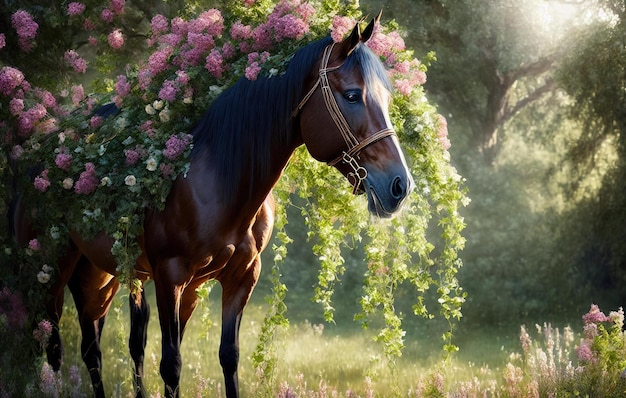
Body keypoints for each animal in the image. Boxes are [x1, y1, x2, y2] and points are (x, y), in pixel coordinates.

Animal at [12, 14, 412, 398]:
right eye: (352, 95)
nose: (400, 185)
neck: (218, 181)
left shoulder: (236, 279)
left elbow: (228, 357)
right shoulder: (170, 277)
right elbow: (171, 365)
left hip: (99, 274)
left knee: (92, 349)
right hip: (49, 269)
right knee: (44, 343)